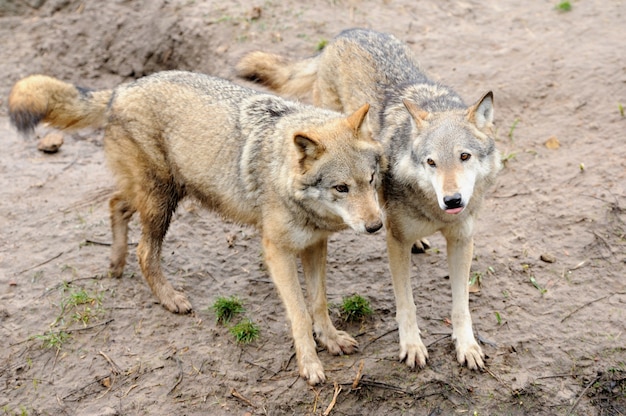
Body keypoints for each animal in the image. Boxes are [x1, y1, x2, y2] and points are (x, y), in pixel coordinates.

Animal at [7, 70, 382, 384]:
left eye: (371, 180)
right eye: (341, 188)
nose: (377, 226)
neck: (281, 169)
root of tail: (121, 89)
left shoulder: (315, 245)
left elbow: (318, 303)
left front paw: (331, 340)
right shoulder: (278, 253)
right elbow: (300, 314)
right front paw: (309, 364)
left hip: (158, 196)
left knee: (115, 205)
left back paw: (115, 264)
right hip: (161, 203)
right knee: (144, 251)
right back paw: (169, 298)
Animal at [236, 28, 500, 370]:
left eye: (464, 156)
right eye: (431, 162)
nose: (452, 201)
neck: (433, 211)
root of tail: (344, 34)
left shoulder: (461, 241)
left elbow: (461, 305)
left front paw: (466, 346)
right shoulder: (396, 244)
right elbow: (407, 304)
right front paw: (412, 346)